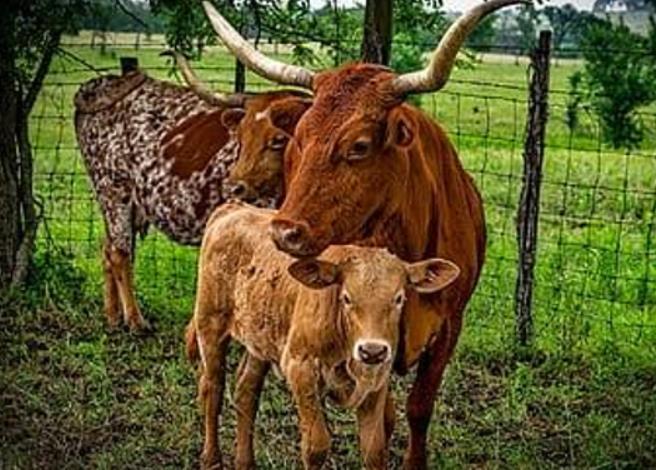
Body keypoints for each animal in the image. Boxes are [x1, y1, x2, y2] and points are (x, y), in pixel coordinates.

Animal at [186, 203, 462, 470]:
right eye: (346, 298)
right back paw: (211, 459)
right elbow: (316, 446)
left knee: (246, 391)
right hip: (210, 324)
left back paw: (246, 462)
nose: (372, 350)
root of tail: (234, 208)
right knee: (212, 389)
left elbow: (374, 450)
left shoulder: (377, 379)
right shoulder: (300, 368)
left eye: (399, 298)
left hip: (260, 339)